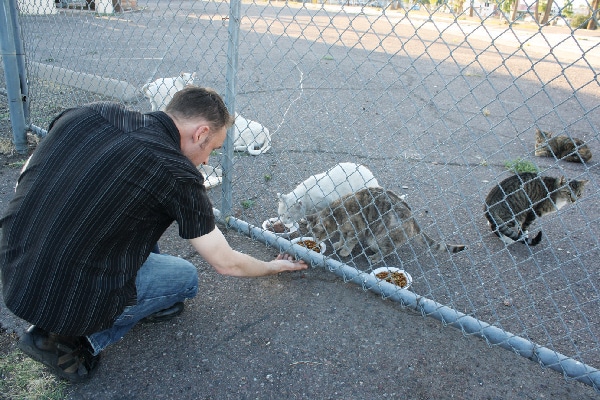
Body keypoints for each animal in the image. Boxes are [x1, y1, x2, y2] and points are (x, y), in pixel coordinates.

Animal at [308, 187, 466, 262]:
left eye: (316, 235)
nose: (315, 241)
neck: (336, 214)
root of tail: (412, 218)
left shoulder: (357, 229)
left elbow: (349, 242)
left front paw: (345, 250)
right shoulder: (344, 230)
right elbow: (342, 237)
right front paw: (339, 244)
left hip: (380, 235)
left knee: (388, 249)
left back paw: (375, 256)